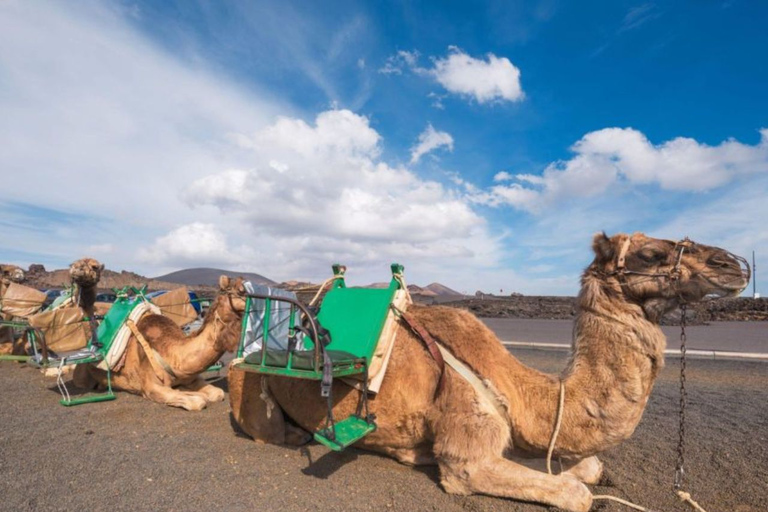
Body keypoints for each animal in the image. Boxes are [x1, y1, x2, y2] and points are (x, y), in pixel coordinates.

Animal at [73, 276, 244, 412]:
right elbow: (197, 401)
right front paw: (191, 394)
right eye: (242, 290)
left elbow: (217, 393)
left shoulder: (190, 377)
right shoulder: (151, 387)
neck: (173, 355)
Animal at [230, 234, 752, 512]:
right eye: (650, 255)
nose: (735, 263)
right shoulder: (467, 454)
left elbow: (587, 466)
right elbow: (575, 493)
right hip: (248, 381)